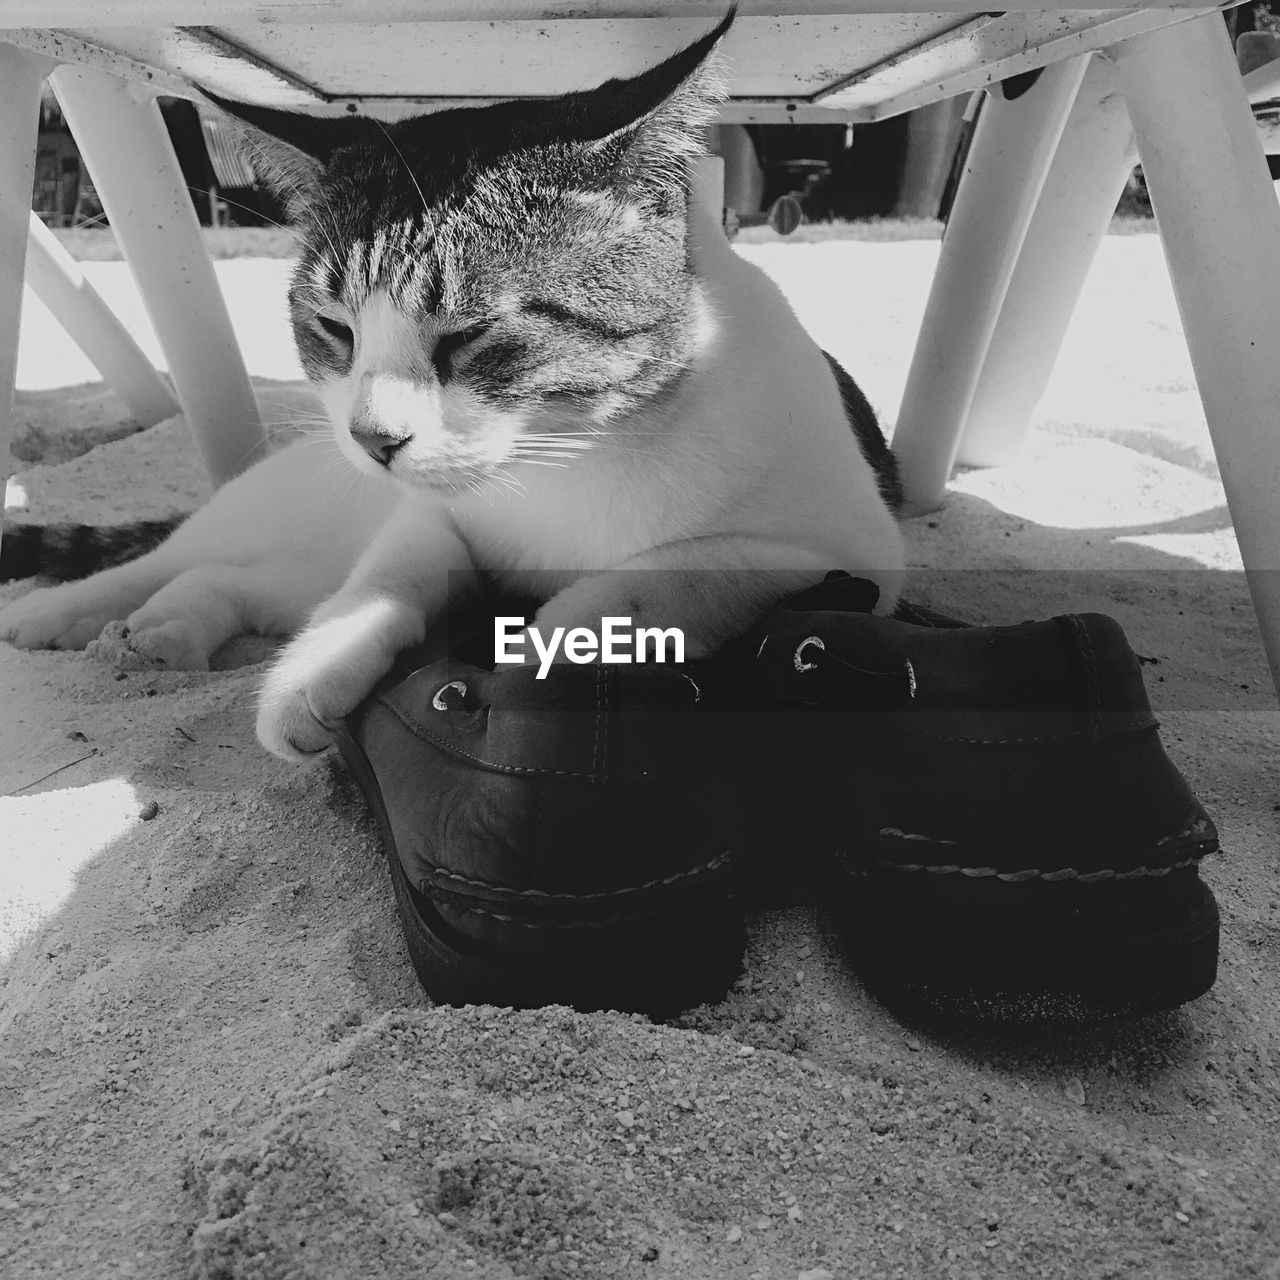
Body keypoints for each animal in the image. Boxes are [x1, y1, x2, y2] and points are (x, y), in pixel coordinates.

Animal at [0, 12, 901, 757]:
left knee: (239, 581)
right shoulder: (430, 516)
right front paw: (317, 667)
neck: (567, 459)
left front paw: (538, 649)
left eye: (470, 335)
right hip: (280, 502)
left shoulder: (839, 551)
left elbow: (652, 584)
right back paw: (65, 611)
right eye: (335, 329)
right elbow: (387, 577)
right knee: (177, 555)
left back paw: (171, 629)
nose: (371, 440)